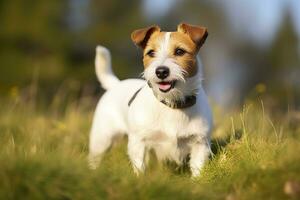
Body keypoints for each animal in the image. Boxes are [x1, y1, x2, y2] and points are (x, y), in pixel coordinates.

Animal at [88, 22, 212, 177]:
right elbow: (140, 167)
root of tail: (116, 84)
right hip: (101, 139)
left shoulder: (200, 143)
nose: (161, 72)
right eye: (151, 53)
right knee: (95, 158)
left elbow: (197, 168)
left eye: (180, 51)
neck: (172, 104)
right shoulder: (138, 143)